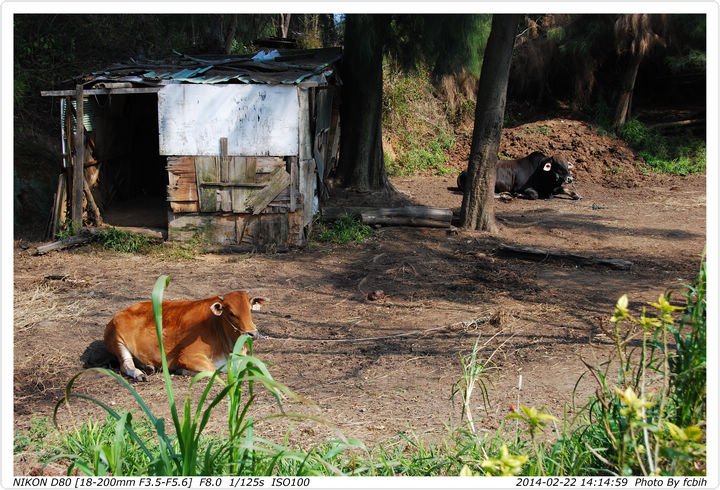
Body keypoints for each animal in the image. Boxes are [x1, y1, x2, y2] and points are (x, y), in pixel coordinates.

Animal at [104, 290, 268, 382]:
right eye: (231, 313)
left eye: (250, 310)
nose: (253, 333)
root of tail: (119, 313)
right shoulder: (187, 355)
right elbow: (212, 370)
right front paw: (181, 370)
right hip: (118, 341)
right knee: (126, 364)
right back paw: (140, 374)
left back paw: (148, 367)